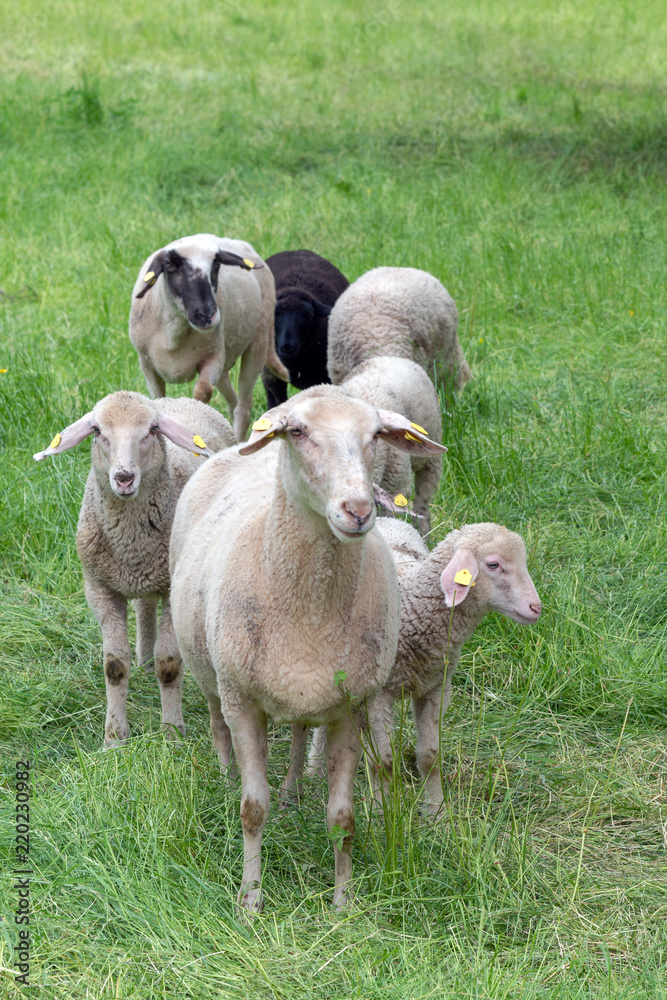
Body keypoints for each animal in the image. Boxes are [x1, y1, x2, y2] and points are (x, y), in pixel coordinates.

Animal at [34, 391, 236, 747]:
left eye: (152, 430)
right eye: (97, 430)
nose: (124, 478)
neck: (131, 542)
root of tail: (177, 397)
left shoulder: (170, 589)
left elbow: (170, 664)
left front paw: (171, 732)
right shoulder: (99, 589)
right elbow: (114, 666)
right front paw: (114, 738)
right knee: (143, 605)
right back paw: (144, 657)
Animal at [129, 234, 289, 440]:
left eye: (217, 263)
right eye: (169, 264)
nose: (207, 315)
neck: (173, 334)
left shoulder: (212, 359)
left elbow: (203, 390)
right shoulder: (148, 366)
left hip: (257, 342)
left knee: (243, 407)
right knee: (232, 400)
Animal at [168, 384, 447, 912]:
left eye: (376, 435)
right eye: (297, 432)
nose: (358, 510)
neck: (311, 612)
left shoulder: (349, 708)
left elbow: (343, 818)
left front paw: (342, 902)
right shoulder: (243, 703)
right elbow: (253, 809)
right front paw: (250, 900)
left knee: (298, 732)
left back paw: (294, 789)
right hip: (210, 671)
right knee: (216, 720)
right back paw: (225, 775)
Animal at [307, 519, 541, 816]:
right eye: (493, 564)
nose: (536, 607)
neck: (412, 607)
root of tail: (384, 518)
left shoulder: (436, 687)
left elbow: (430, 756)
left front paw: (436, 811)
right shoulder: (377, 696)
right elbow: (383, 760)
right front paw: (382, 811)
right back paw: (314, 772)